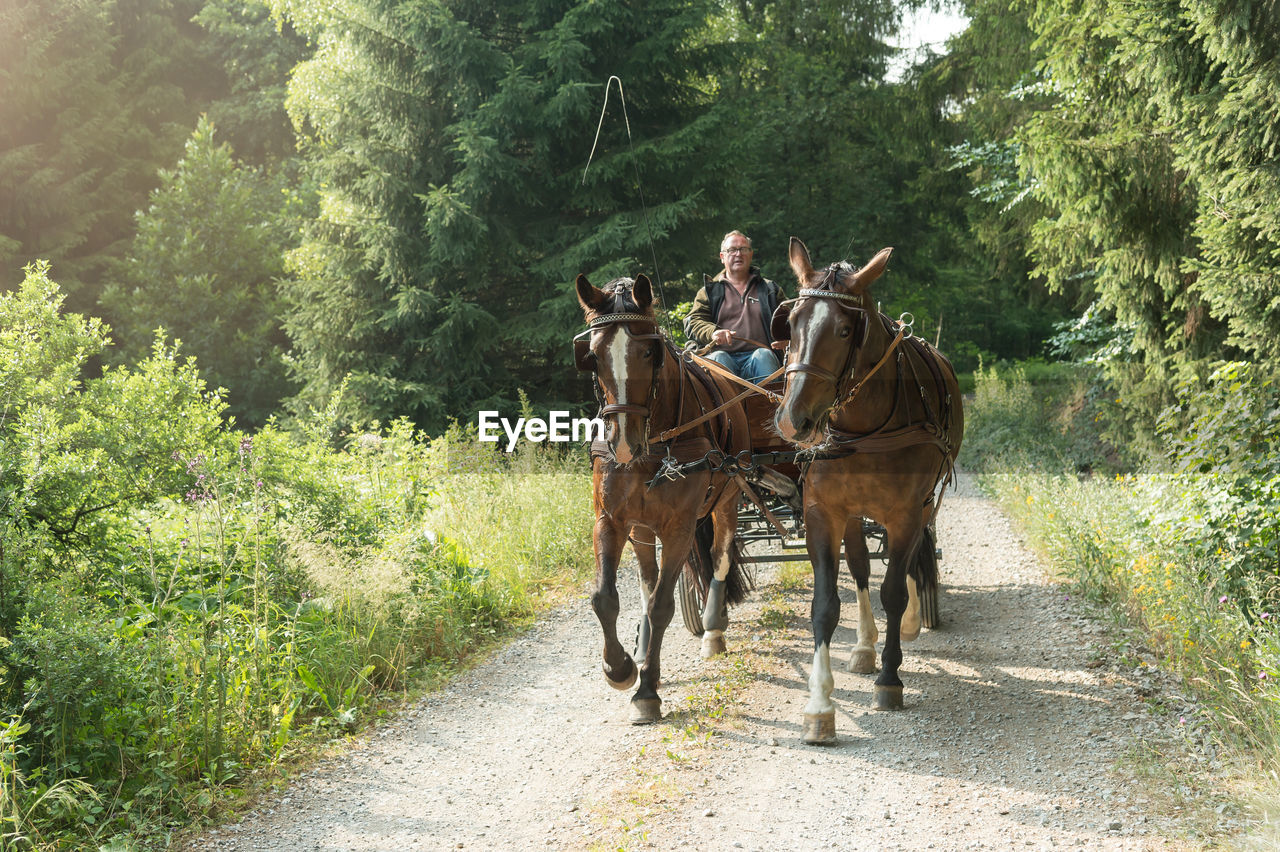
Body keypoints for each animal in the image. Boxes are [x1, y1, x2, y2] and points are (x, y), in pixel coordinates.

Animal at [578, 272, 752, 721]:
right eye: (592, 355)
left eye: (647, 351)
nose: (623, 444)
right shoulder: (610, 521)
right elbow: (605, 597)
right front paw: (620, 668)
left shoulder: (679, 528)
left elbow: (662, 605)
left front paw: (647, 692)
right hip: (641, 526)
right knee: (646, 576)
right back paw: (640, 649)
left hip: (727, 500)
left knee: (720, 558)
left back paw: (712, 629)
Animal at [768, 235, 962, 741]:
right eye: (791, 323)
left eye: (842, 330)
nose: (794, 420)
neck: (865, 426)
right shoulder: (824, 512)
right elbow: (824, 605)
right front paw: (819, 706)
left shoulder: (908, 511)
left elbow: (894, 588)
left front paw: (890, 679)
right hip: (854, 514)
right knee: (858, 568)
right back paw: (863, 646)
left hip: (922, 505)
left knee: (908, 560)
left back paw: (906, 626)